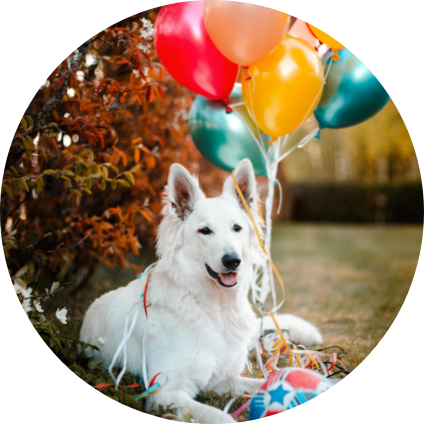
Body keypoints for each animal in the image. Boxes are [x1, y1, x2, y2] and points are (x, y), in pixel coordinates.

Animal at [79, 160, 322, 424]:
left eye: (237, 228)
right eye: (205, 231)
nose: (232, 261)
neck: (215, 309)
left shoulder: (222, 380)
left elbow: (262, 383)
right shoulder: (166, 392)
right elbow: (220, 416)